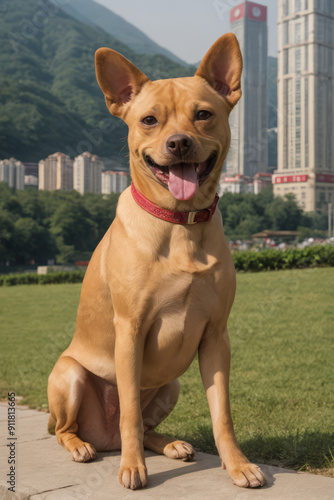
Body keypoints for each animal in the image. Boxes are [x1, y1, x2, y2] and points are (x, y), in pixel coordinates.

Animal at [47, 33, 266, 490]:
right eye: (149, 120)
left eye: (203, 114)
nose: (178, 142)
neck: (180, 224)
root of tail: (104, 437)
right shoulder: (130, 330)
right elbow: (129, 409)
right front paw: (133, 468)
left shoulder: (216, 336)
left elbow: (222, 414)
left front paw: (237, 464)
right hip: (70, 376)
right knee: (68, 427)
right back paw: (83, 446)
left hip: (173, 384)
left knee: (148, 427)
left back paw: (170, 444)